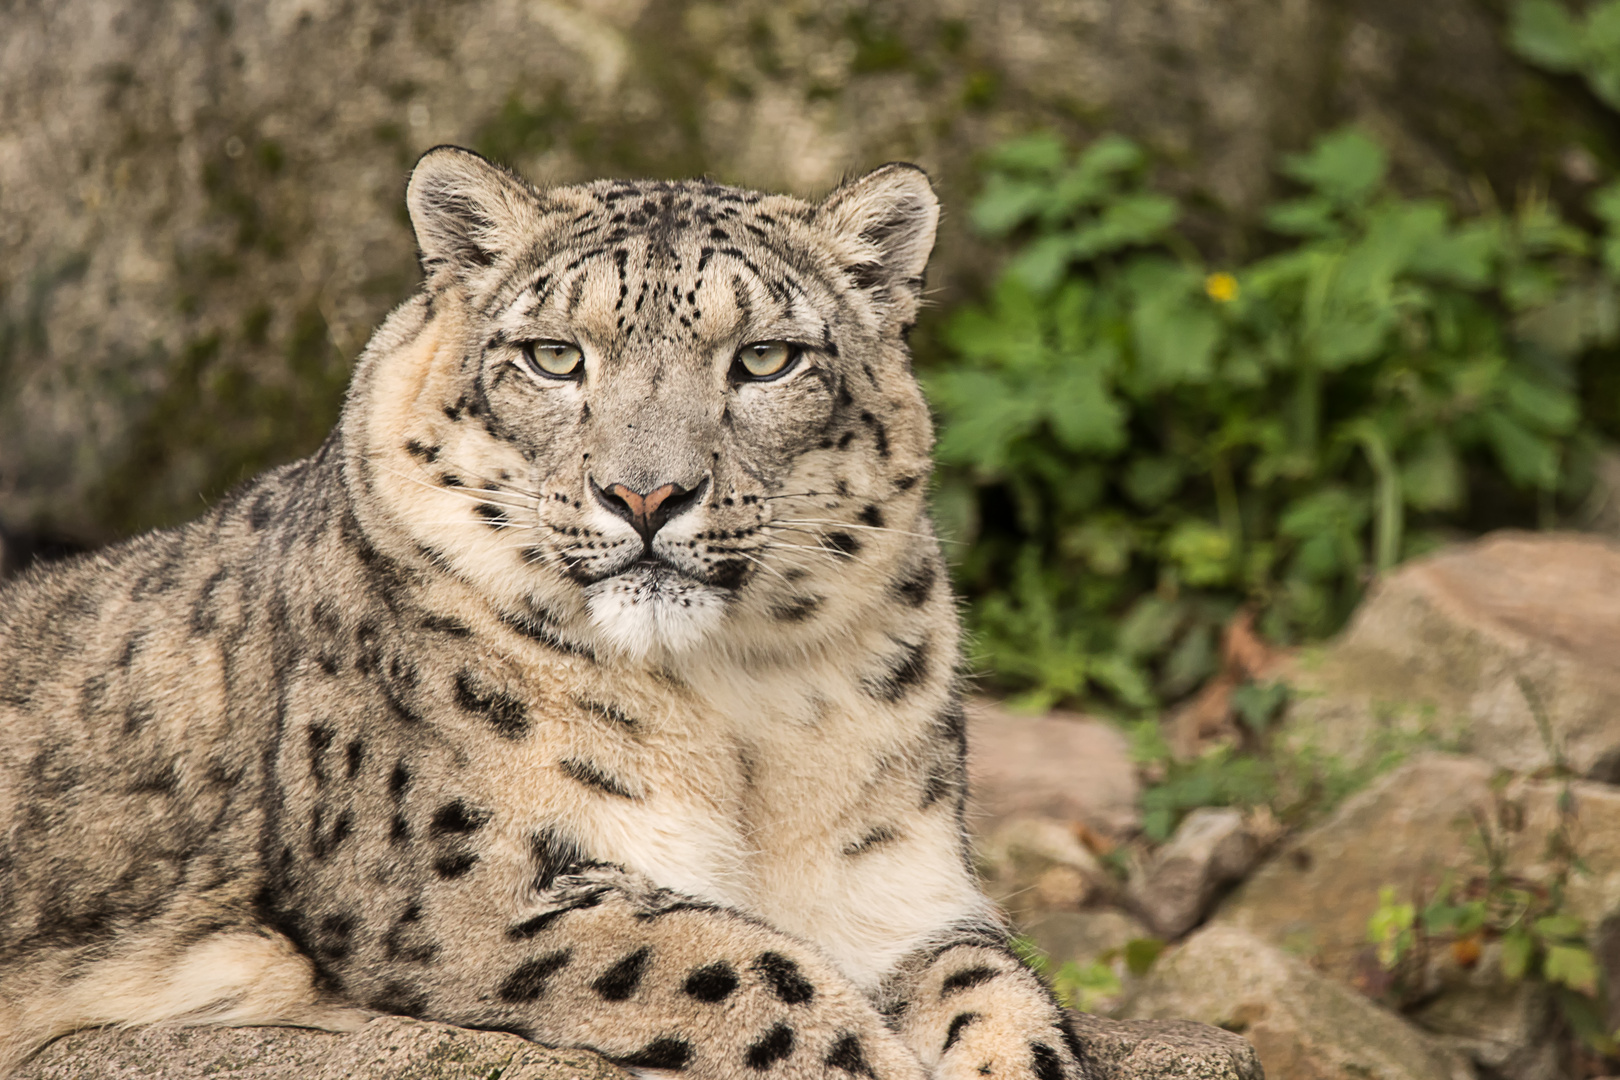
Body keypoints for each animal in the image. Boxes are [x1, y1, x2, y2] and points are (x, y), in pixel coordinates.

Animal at [0, 145, 1095, 1080]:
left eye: (766, 359)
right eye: (556, 357)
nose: (646, 495)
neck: (738, 719)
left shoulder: (898, 889)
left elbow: (998, 988)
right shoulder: (453, 887)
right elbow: (734, 962)